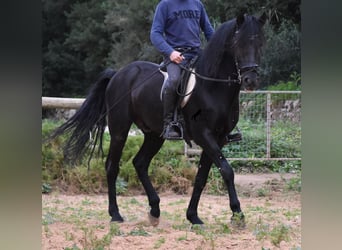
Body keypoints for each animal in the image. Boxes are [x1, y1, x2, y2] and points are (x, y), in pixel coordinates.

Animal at [49, 12, 266, 226]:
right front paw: (238, 215)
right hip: (120, 130)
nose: (251, 81)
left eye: (260, 44)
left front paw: (193, 216)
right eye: (238, 43)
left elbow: (202, 177)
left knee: (140, 163)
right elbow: (227, 171)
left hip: (154, 135)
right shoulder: (204, 135)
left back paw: (154, 210)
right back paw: (116, 214)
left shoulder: (218, 138)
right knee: (112, 166)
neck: (212, 87)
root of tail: (119, 73)